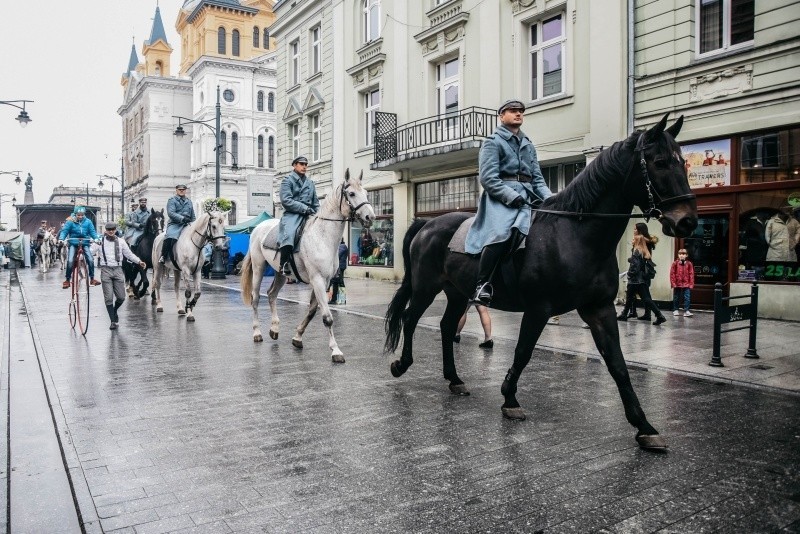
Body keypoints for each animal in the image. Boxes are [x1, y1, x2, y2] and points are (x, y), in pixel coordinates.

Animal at [241, 172, 376, 364]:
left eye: (365, 192)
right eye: (351, 194)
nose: (370, 217)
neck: (323, 237)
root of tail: (259, 227)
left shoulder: (324, 281)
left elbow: (312, 311)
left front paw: (297, 337)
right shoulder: (317, 279)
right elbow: (327, 318)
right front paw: (336, 351)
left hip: (281, 273)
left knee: (271, 294)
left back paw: (274, 329)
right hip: (259, 268)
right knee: (256, 298)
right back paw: (257, 332)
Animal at [384, 114, 696, 452]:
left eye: (683, 162)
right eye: (660, 162)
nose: (687, 221)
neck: (576, 235)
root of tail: (427, 224)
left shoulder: (599, 309)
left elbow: (618, 364)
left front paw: (644, 426)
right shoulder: (538, 309)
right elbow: (523, 352)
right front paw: (509, 398)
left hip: (456, 293)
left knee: (445, 326)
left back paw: (454, 379)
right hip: (426, 288)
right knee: (410, 319)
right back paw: (401, 364)